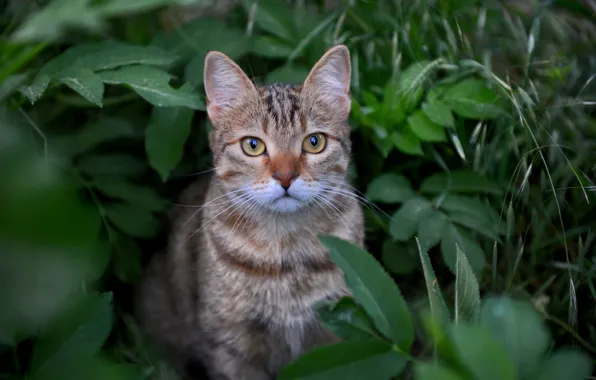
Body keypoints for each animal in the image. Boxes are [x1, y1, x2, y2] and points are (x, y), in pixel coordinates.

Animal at [137, 45, 366, 380]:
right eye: (253, 145)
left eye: (315, 142)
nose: (285, 177)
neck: (287, 251)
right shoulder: (230, 344)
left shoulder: (336, 331)